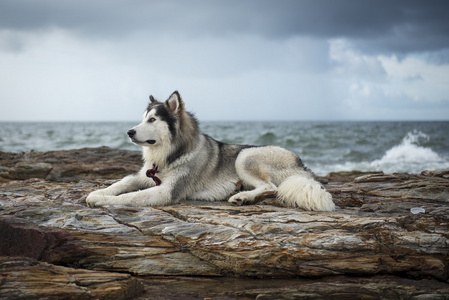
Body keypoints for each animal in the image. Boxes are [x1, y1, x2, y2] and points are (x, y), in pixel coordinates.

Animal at [86, 91, 334, 211]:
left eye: (153, 119)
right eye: (142, 119)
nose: (129, 132)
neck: (170, 154)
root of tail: (302, 165)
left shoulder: (166, 191)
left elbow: (130, 196)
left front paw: (101, 201)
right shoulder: (144, 176)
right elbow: (122, 183)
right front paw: (97, 193)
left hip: (245, 156)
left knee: (271, 187)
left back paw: (242, 197)